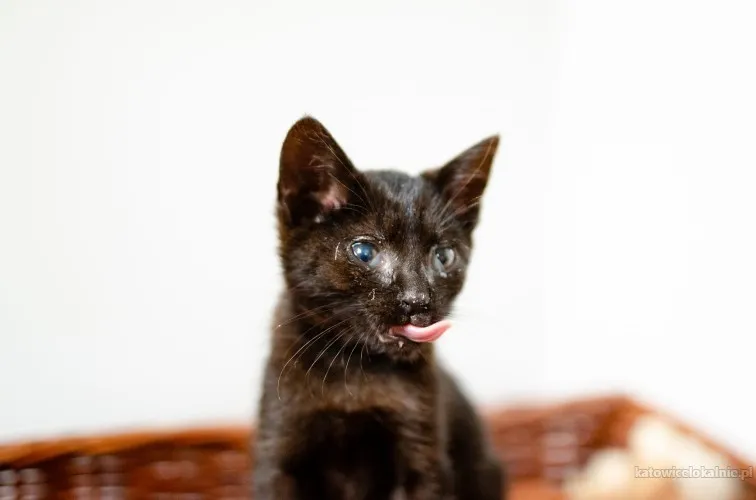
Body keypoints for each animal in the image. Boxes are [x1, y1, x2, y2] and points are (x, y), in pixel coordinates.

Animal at [252, 116, 506, 500]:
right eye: (365, 252)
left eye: (443, 257)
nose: (417, 300)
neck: (355, 370)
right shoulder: (279, 452)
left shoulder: (423, 454)